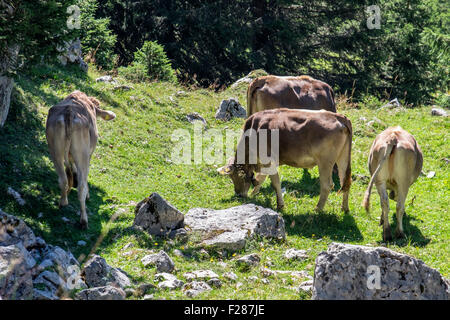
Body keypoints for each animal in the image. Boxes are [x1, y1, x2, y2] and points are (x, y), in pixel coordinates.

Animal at [45, 91, 116, 229]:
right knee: (81, 187)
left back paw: (63, 201)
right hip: (82, 154)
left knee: (63, 179)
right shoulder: (89, 154)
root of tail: (69, 112)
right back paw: (83, 220)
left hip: (55, 151)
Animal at [217, 108, 352, 212]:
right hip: (342, 158)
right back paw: (344, 208)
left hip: (325, 162)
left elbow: (275, 183)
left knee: (327, 185)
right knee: (345, 181)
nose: (238, 194)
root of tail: (339, 117)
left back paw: (317, 209)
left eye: (235, 176)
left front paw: (280, 205)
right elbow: (261, 179)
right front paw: (253, 194)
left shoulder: (268, 161)